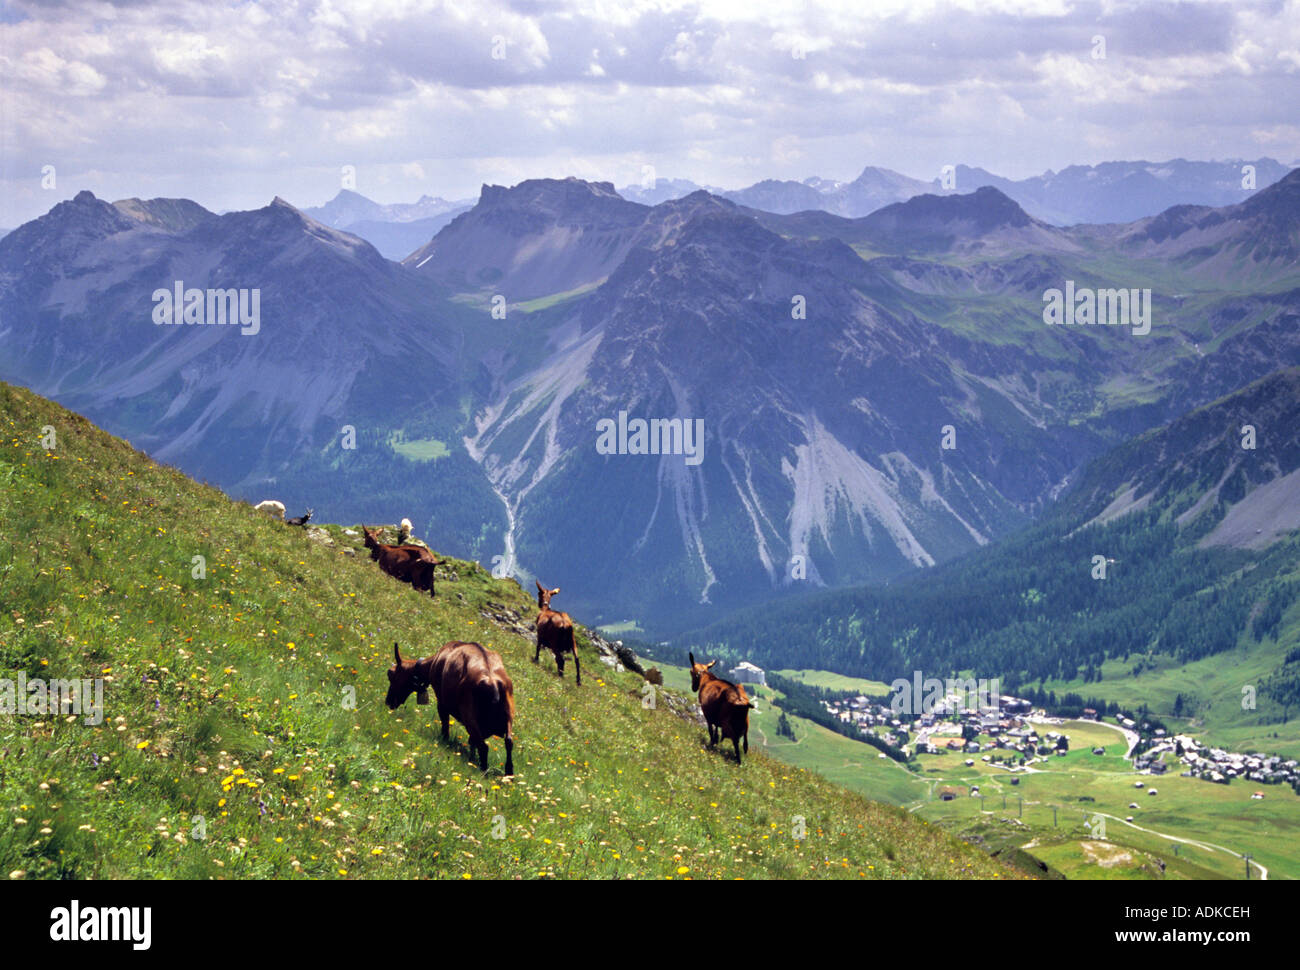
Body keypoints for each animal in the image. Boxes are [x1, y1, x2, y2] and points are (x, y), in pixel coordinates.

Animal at [384, 639, 512, 774]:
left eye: (391, 674)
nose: (388, 702)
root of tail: (492, 681)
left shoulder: (441, 703)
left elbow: (445, 727)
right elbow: (471, 742)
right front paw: (471, 757)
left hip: (469, 716)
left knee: (483, 746)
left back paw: (483, 771)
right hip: (508, 715)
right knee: (508, 741)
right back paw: (508, 773)